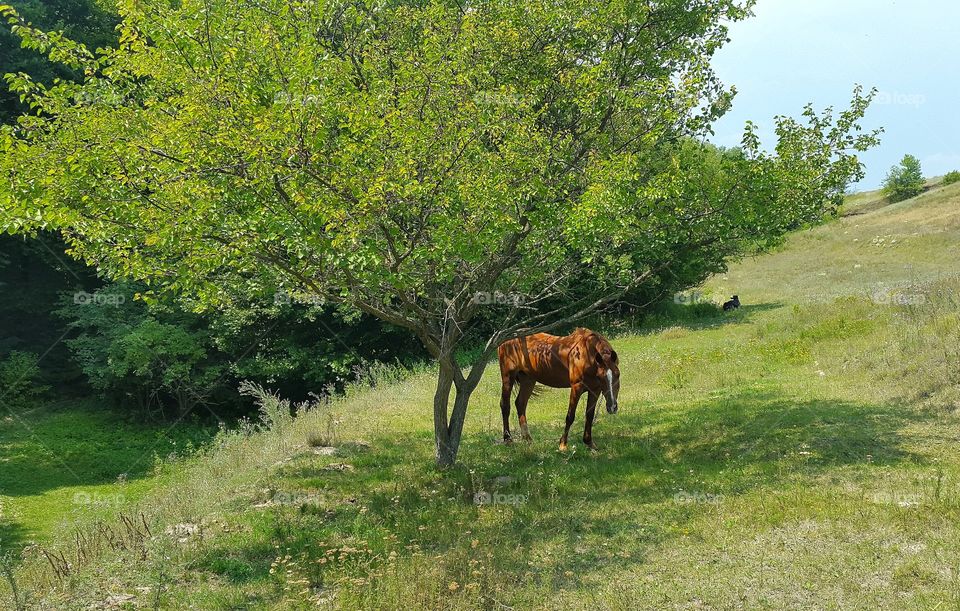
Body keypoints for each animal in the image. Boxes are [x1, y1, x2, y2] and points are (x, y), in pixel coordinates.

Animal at [496, 328, 624, 452]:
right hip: (508, 376)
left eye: (618, 375)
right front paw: (563, 445)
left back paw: (527, 439)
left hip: (528, 379)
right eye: (601, 377)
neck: (586, 354)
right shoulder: (576, 388)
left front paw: (589, 443)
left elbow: (589, 415)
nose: (612, 407)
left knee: (520, 404)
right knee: (505, 405)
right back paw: (508, 439)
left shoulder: (595, 390)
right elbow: (570, 416)